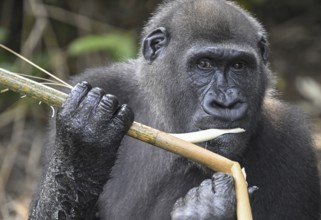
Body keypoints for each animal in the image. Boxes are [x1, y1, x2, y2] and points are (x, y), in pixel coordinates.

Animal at [28, 0, 318, 220]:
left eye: (239, 66)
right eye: (204, 64)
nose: (226, 102)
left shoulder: (292, 140)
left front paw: (206, 212)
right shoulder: (99, 84)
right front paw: (84, 146)